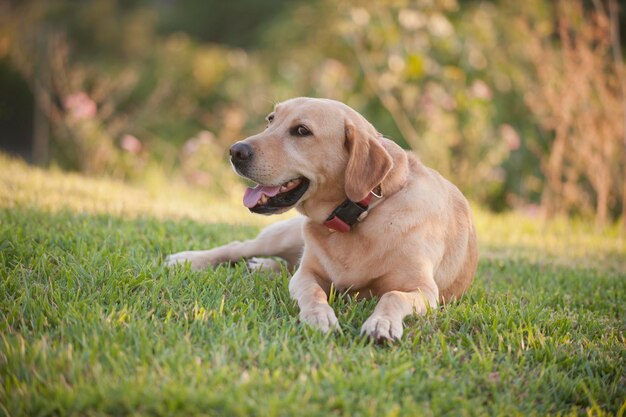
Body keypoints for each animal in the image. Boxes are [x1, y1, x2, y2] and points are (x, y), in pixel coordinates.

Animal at [167, 97, 478, 342]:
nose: (235, 151)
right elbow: (313, 293)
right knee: (239, 247)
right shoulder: (306, 275)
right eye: (270, 120)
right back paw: (189, 258)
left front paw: (382, 324)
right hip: (280, 237)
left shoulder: (424, 291)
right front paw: (319, 318)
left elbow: (392, 296)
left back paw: (262, 267)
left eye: (302, 131)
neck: (363, 212)